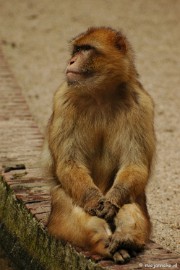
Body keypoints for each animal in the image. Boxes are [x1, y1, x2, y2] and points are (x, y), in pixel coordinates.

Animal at [44, 26, 156, 262]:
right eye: (76, 49)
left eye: (86, 49)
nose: (71, 61)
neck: (100, 94)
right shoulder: (63, 99)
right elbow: (69, 163)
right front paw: (96, 202)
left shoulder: (141, 104)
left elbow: (135, 165)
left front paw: (112, 202)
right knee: (68, 203)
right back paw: (102, 243)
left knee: (131, 201)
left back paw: (126, 239)